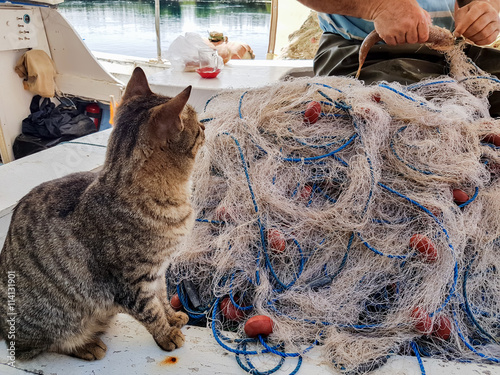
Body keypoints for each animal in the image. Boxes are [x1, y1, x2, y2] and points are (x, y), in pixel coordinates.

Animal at [0, 67, 205, 362]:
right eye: (197, 125)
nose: (206, 127)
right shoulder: (130, 284)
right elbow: (150, 312)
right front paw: (166, 334)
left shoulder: (158, 271)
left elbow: (163, 298)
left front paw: (173, 317)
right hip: (52, 319)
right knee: (40, 346)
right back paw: (85, 345)